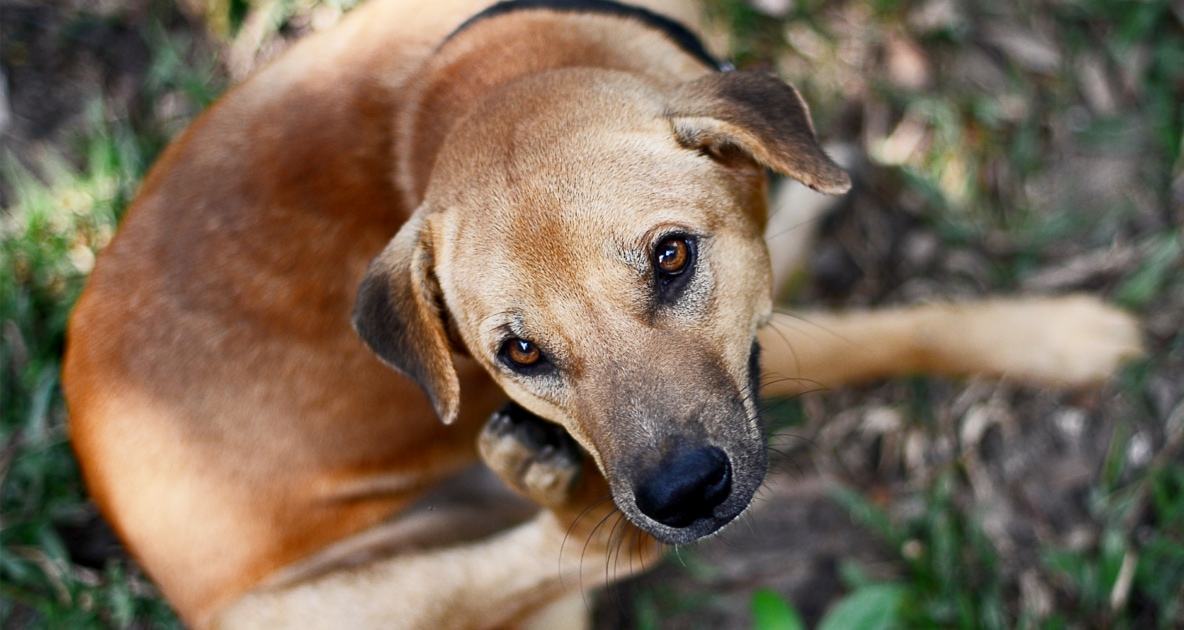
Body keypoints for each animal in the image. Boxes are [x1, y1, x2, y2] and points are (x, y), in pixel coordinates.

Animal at [62, 1, 1136, 625]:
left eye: (673, 256)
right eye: (518, 351)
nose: (683, 494)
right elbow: (885, 331)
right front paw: (1055, 336)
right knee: (580, 554)